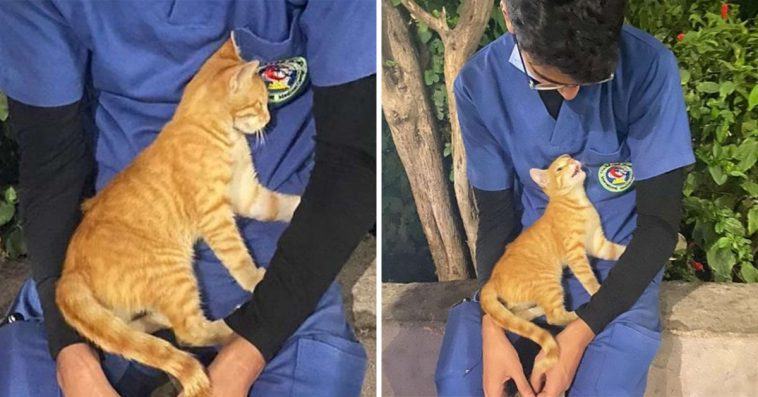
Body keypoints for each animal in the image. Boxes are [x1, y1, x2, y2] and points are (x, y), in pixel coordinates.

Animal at [55, 34, 298, 396]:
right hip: (174, 273)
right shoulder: (216, 216)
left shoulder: (247, 194)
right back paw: (233, 324)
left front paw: (300, 203)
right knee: (188, 331)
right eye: (259, 103)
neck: (214, 132)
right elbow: (237, 257)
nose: (269, 119)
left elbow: (279, 205)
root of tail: (69, 271)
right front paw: (254, 278)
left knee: (134, 329)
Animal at [484, 153, 628, 372]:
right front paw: (597, 291)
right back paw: (577, 314)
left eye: (570, 158)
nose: (574, 162)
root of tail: (492, 279)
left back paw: (537, 311)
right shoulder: (576, 254)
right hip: (549, 283)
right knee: (554, 316)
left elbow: (616, 251)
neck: (577, 202)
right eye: (560, 168)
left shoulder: (598, 243)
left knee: (519, 314)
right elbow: (588, 278)